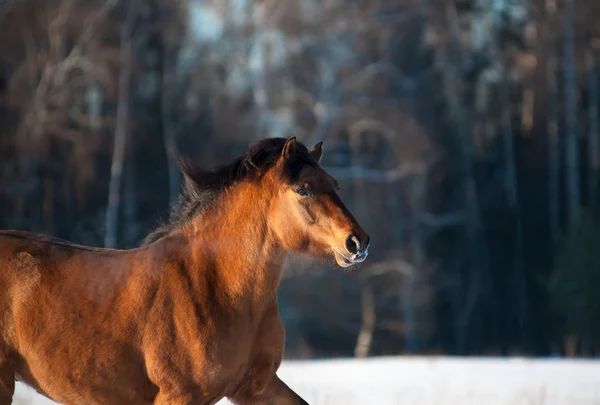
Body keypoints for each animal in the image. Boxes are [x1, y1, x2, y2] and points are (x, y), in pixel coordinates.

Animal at [0, 137, 370, 404]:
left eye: (334, 184)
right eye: (303, 189)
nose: (358, 242)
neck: (217, 286)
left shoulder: (256, 385)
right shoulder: (180, 394)